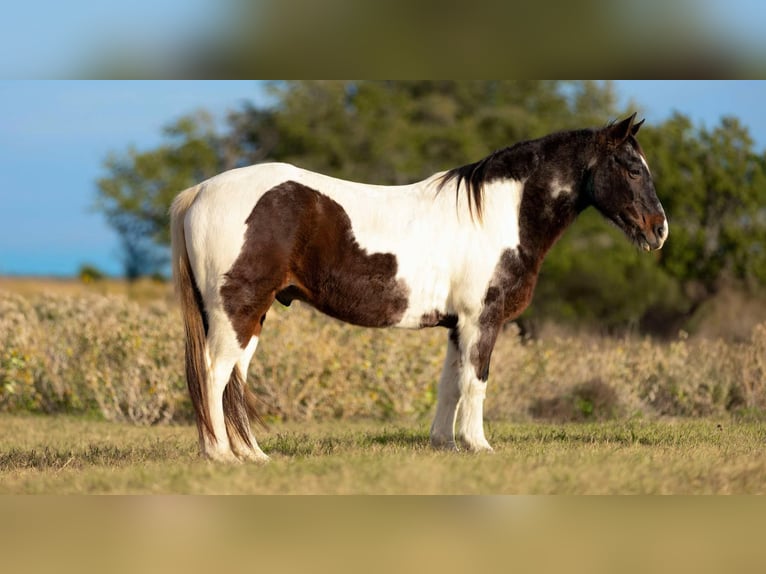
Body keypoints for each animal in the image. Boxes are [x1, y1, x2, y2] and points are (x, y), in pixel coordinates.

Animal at [171, 112, 668, 464]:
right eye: (631, 168)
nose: (658, 230)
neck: (496, 215)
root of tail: (200, 192)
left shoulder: (458, 326)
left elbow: (450, 384)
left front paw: (445, 445)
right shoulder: (482, 321)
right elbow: (476, 382)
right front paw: (479, 445)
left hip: (251, 316)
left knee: (233, 380)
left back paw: (252, 455)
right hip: (236, 312)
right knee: (214, 374)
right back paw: (220, 455)